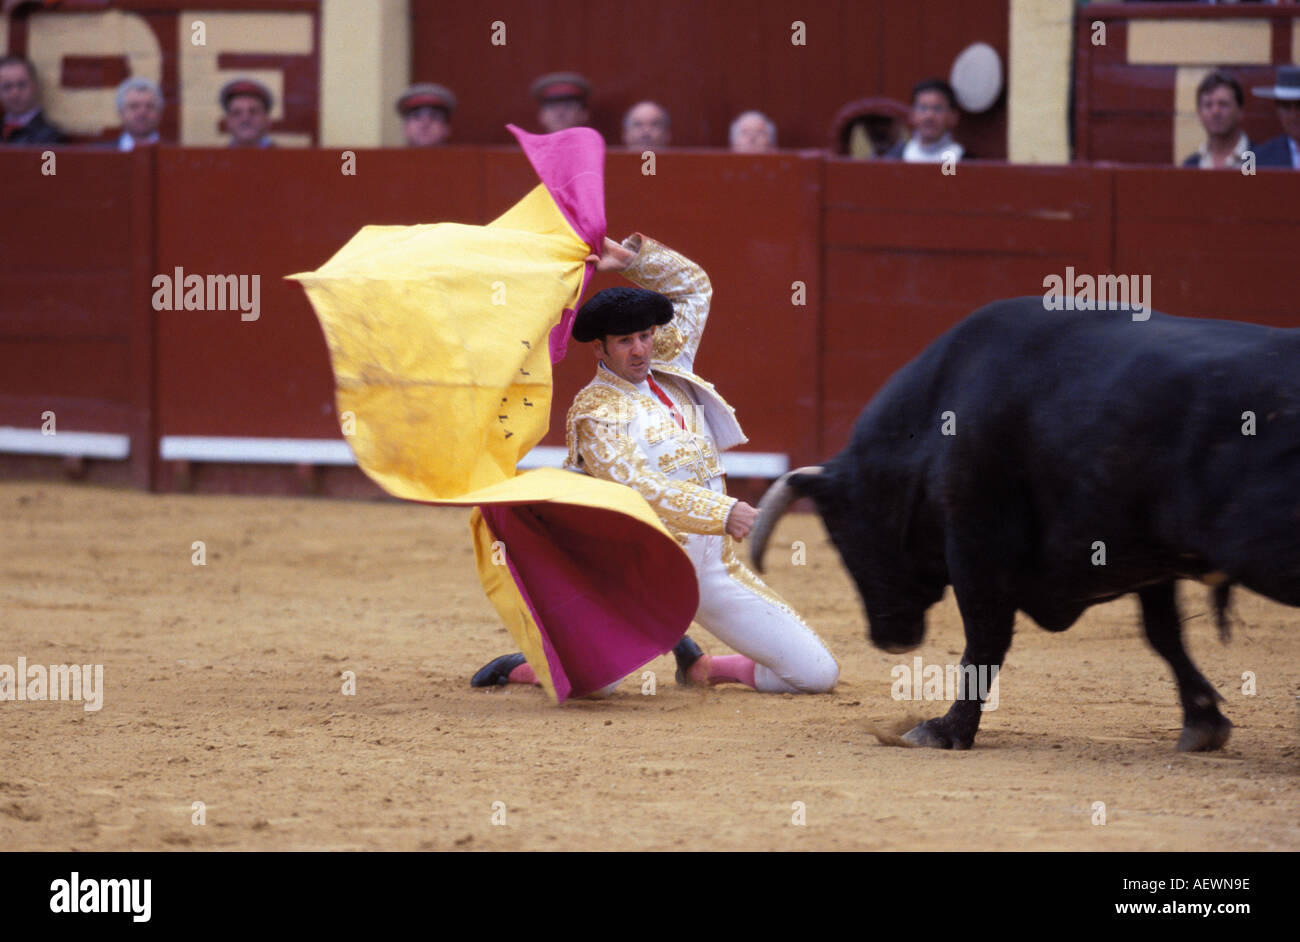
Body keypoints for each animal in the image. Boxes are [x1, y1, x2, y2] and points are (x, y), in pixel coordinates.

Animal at [754, 297, 1300, 753]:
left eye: (843, 538)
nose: (889, 639)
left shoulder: (976, 542)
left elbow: (984, 638)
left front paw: (945, 730)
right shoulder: (1148, 555)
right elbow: (1163, 634)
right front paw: (1203, 723)